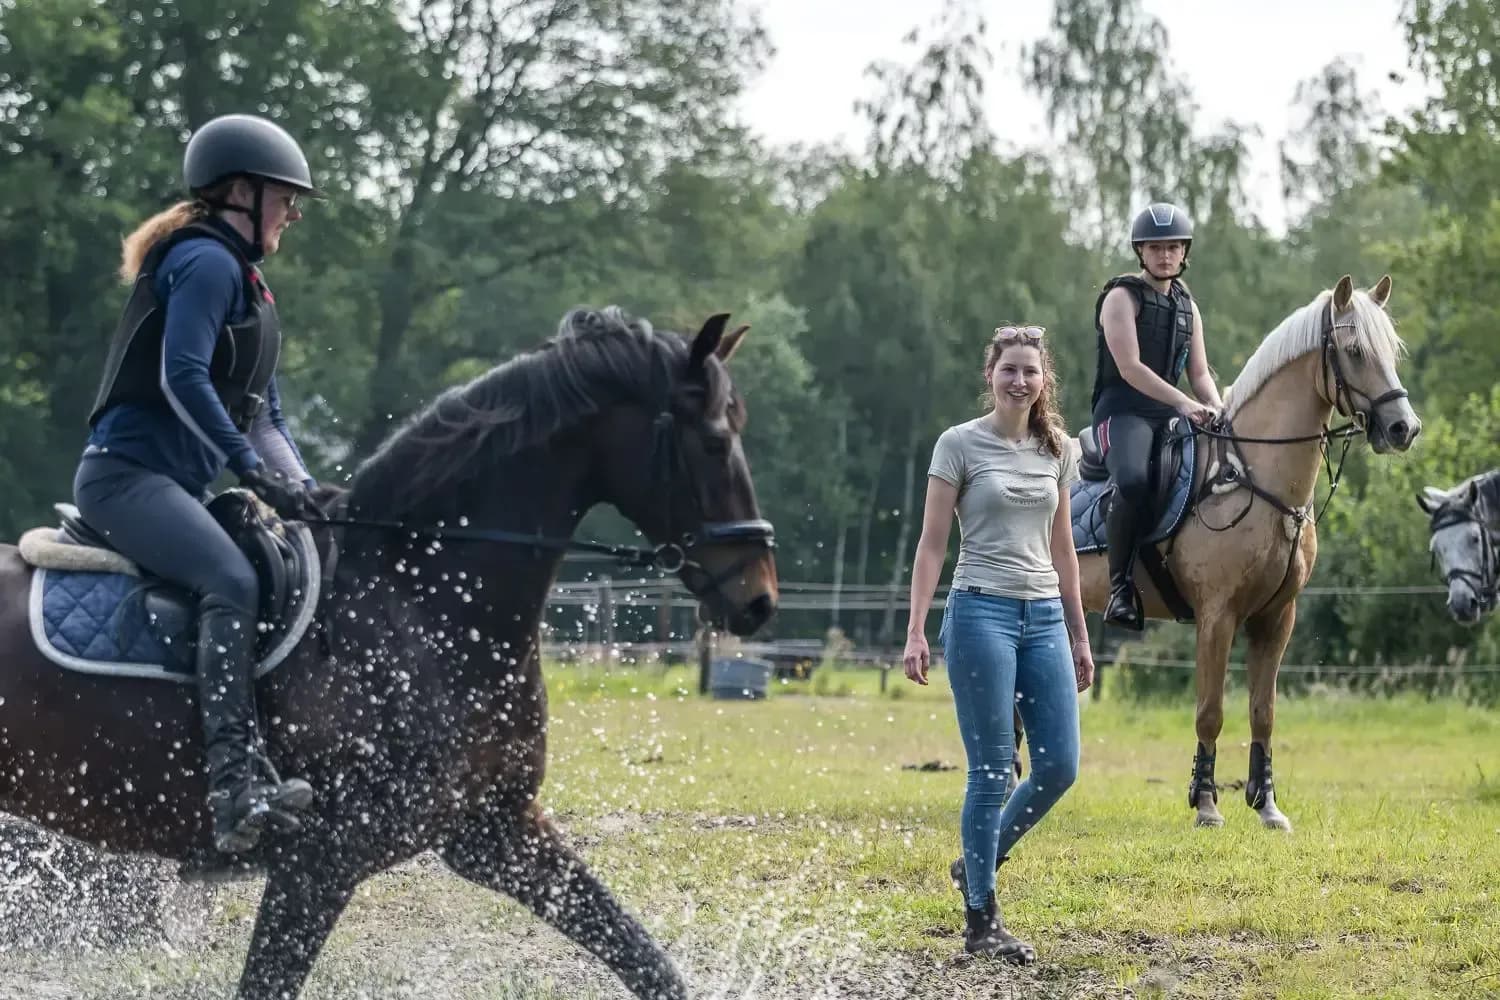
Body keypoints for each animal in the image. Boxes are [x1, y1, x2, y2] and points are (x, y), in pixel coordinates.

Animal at [0, 307, 779, 1000]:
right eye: (715, 441)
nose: (759, 597)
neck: (418, 597)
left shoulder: (496, 829)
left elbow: (646, 960)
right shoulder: (322, 862)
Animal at [1073, 275, 1420, 831]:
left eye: (1392, 351)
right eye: (1355, 351)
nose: (1403, 429)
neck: (1253, 478)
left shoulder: (1276, 618)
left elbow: (1263, 712)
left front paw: (1267, 804)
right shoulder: (1217, 616)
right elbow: (1210, 711)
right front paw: (1206, 803)